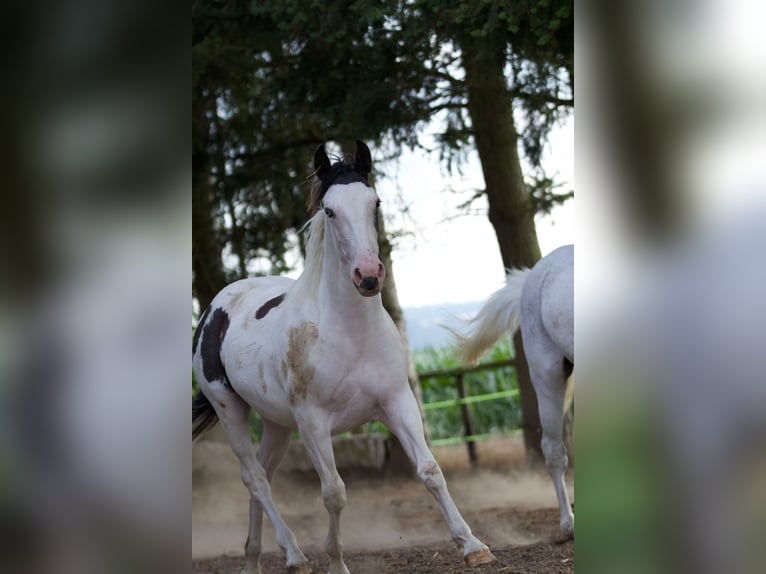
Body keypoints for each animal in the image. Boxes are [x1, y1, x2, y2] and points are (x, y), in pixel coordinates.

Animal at [192, 141, 495, 574]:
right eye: (330, 210)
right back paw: (295, 554)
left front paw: (473, 546)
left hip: (276, 423)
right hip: (229, 409)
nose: (367, 276)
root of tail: (213, 310)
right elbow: (334, 491)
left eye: (375, 202)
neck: (351, 335)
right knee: (255, 478)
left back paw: (254, 558)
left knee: (262, 475)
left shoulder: (398, 403)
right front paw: (335, 561)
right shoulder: (313, 423)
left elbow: (430, 471)